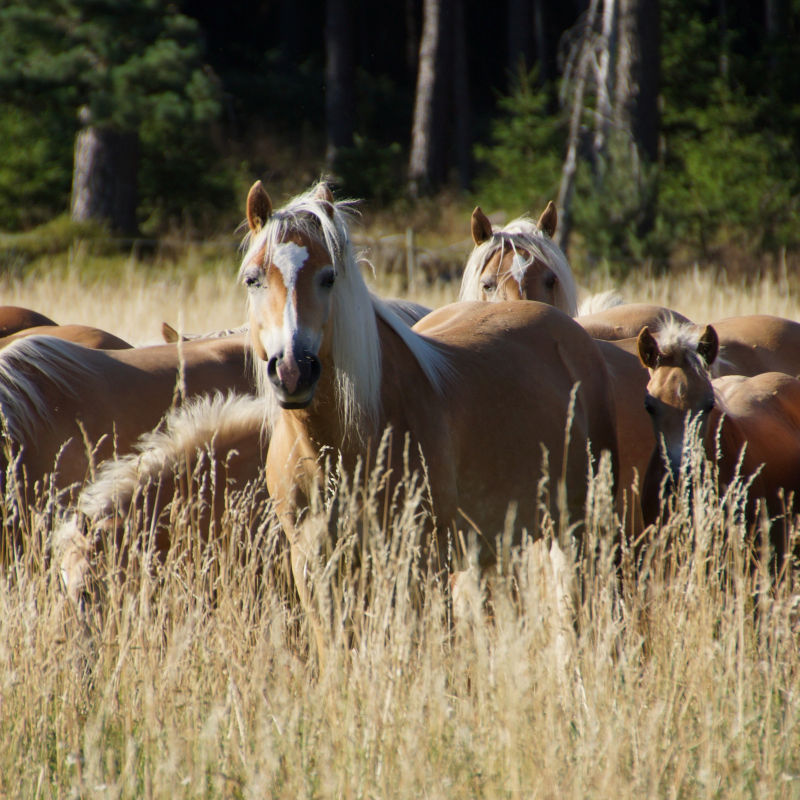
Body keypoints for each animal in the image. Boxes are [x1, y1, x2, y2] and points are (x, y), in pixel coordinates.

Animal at [238, 180, 620, 656]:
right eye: (253, 278)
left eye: (329, 277)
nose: (293, 371)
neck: (338, 446)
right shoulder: (314, 566)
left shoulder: (416, 562)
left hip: (580, 527)